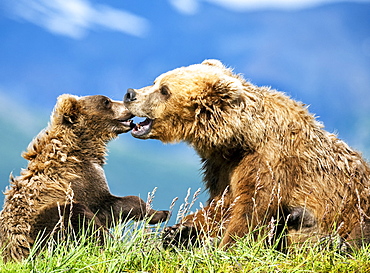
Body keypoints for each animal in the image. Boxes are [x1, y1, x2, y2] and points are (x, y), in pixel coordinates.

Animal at [0, 94, 169, 262]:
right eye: (106, 101)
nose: (129, 106)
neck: (82, 147)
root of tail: (12, 254)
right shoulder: (80, 180)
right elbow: (108, 205)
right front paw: (160, 213)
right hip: (40, 227)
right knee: (77, 217)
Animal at [124, 59, 370, 249]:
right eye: (156, 82)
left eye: (165, 90)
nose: (130, 93)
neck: (241, 139)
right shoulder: (221, 165)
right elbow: (221, 202)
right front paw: (179, 231)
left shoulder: (269, 161)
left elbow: (251, 208)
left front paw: (226, 244)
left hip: (357, 208)